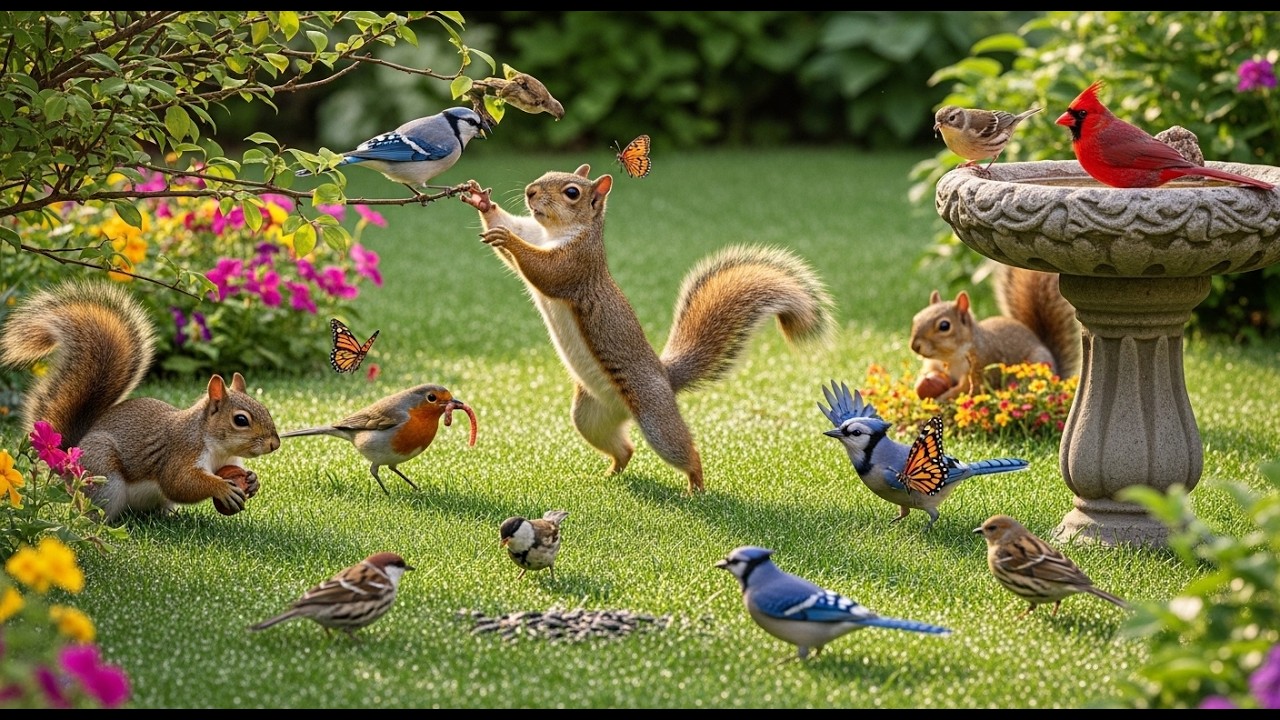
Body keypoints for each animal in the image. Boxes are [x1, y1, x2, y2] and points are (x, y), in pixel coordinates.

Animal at [0, 279, 281, 522]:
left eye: (266, 409)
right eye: (241, 420)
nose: (275, 444)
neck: (217, 448)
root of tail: (69, 457)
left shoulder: (230, 461)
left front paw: (253, 480)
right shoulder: (180, 453)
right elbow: (180, 483)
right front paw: (220, 487)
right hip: (102, 479)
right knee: (91, 511)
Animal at [459, 164, 836, 494]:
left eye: (572, 192)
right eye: (546, 174)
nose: (530, 191)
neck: (557, 234)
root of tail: (665, 377)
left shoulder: (577, 265)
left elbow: (543, 270)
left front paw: (508, 239)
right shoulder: (538, 233)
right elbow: (519, 234)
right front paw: (483, 203)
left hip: (655, 417)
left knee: (683, 450)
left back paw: (695, 487)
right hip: (590, 416)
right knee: (625, 449)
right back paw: (610, 474)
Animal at [909, 265, 1081, 403]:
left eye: (944, 326)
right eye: (916, 318)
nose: (915, 346)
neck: (950, 358)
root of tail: (1059, 376)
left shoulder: (981, 365)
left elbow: (967, 388)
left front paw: (943, 398)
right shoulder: (936, 365)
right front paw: (922, 381)